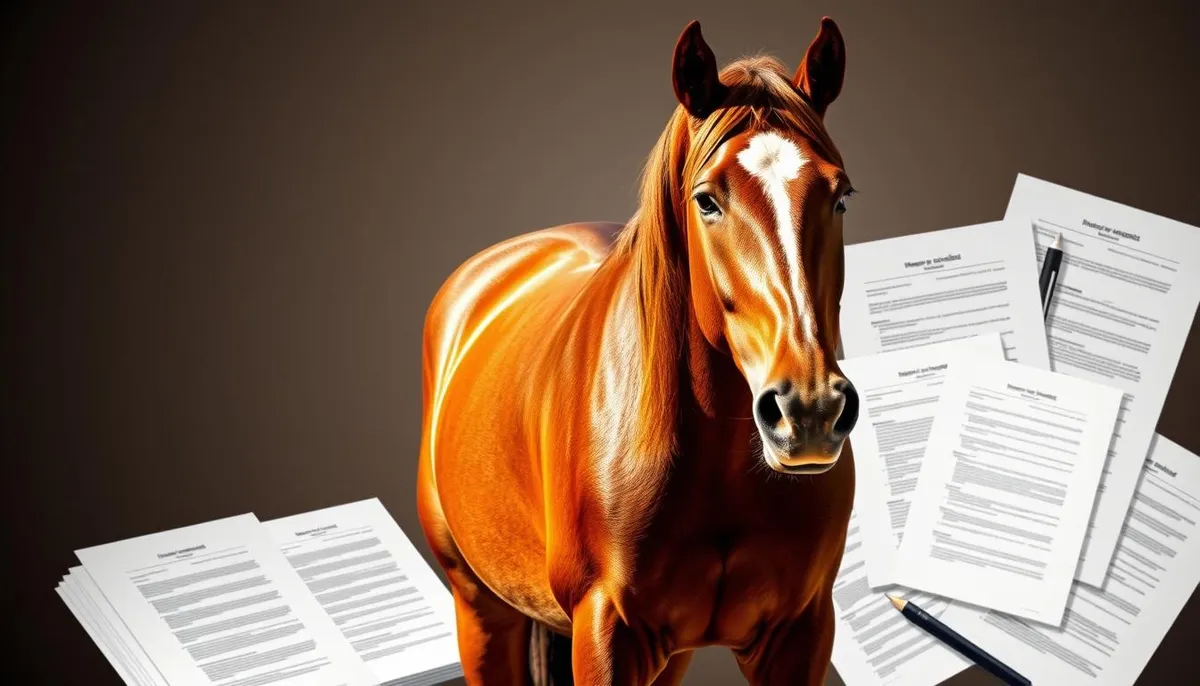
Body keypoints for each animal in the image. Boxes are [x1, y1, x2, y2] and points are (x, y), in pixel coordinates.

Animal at [416, 16, 859, 686]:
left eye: (840, 196)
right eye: (707, 200)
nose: (809, 411)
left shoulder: (799, 632)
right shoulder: (605, 631)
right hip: (481, 610)